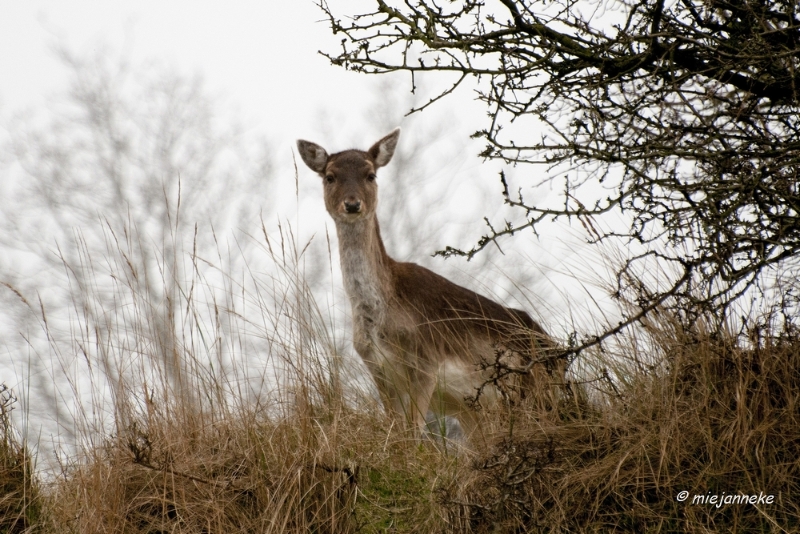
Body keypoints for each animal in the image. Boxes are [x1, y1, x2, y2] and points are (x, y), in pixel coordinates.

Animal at [296, 127, 564, 442]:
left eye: (371, 174)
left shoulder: (425, 363)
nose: (352, 204)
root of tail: (558, 353)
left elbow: (414, 434)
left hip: (534, 393)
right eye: (330, 176)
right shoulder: (378, 370)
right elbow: (397, 432)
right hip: (478, 413)